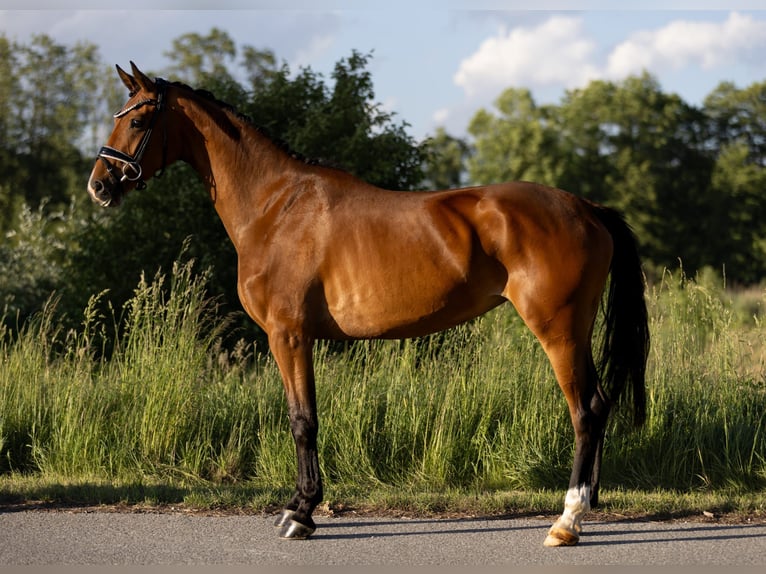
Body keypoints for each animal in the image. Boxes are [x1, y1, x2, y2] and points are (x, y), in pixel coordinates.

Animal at [87, 62, 649, 546]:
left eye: (138, 119)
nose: (99, 185)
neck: (277, 206)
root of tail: (586, 208)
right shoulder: (295, 337)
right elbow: (304, 417)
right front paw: (301, 507)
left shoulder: (288, 335)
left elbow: (302, 420)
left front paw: (301, 513)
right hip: (575, 331)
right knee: (600, 406)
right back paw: (588, 506)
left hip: (558, 330)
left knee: (584, 411)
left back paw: (567, 521)